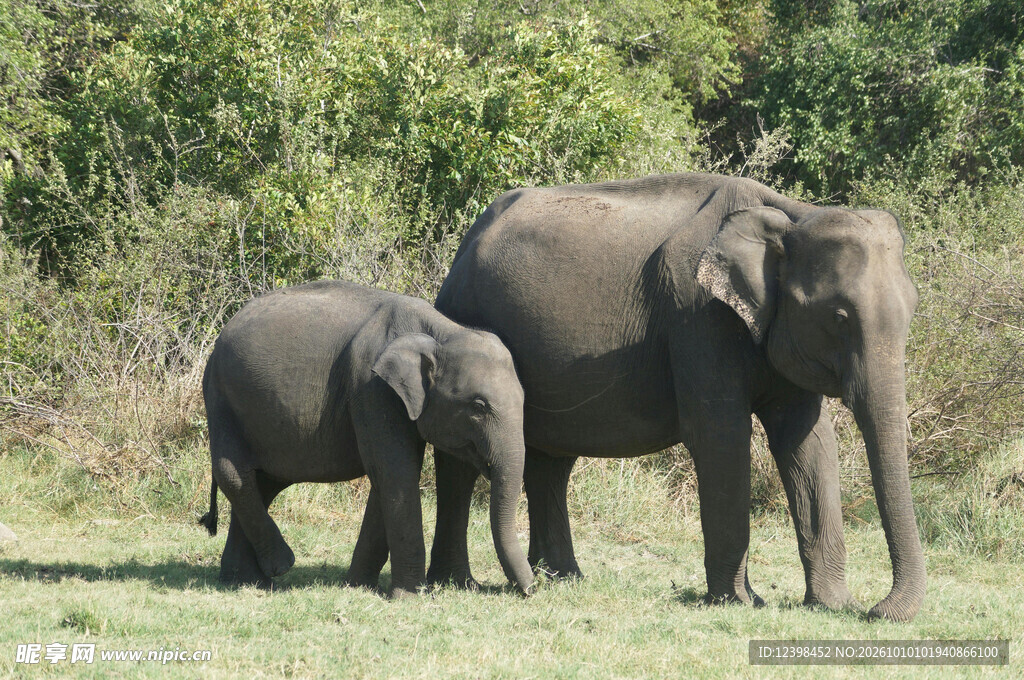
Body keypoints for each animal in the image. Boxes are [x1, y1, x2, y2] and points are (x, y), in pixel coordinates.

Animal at [198, 280, 534, 598]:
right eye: (478, 406)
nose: (532, 588)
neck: (440, 332)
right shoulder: (370, 388)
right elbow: (396, 474)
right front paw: (410, 597)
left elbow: (388, 479)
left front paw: (358, 586)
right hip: (221, 398)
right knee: (234, 473)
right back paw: (279, 566)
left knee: (263, 482)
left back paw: (248, 580)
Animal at [426, 172, 926, 621]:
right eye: (839, 316)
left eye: (914, 310)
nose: (878, 611)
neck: (792, 214)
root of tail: (463, 249)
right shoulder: (698, 318)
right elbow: (721, 438)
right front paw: (741, 603)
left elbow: (808, 443)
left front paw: (832, 606)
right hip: (464, 315)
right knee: (461, 462)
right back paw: (458, 583)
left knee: (551, 462)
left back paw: (562, 578)